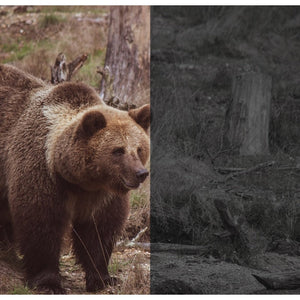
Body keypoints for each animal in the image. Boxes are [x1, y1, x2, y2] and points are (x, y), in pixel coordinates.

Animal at [0, 65, 150, 292]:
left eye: (139, 148)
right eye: (118, 150)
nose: (141, 173)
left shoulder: (102, 194)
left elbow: (99, 231)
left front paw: (102, 278)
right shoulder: (42, 174)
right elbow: (41, 223)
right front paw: (48, 282)